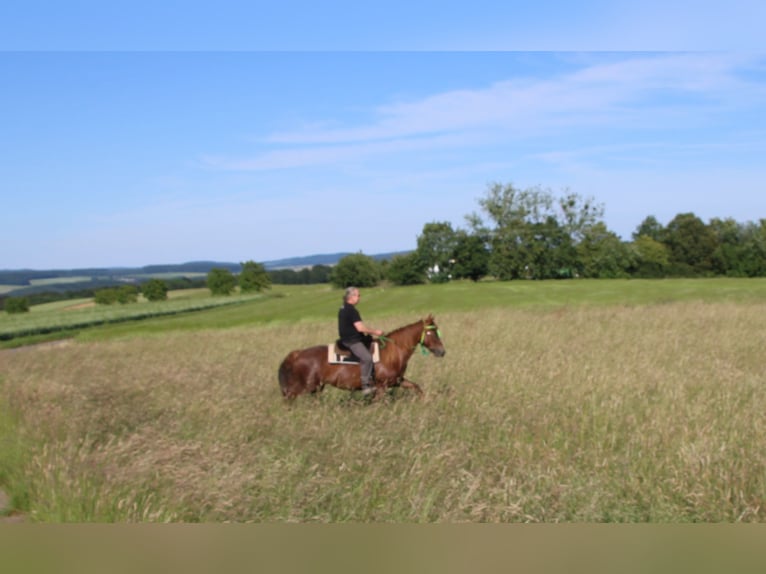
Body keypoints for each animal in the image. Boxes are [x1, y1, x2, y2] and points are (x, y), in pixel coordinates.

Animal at [280, 316, 448, 400]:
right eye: (431, 332)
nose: (442, 351)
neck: (393, 352)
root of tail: (297, 354)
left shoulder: (397, 381)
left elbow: (416, 387)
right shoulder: (381, 387)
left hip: (316, 388)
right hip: (306, 387)